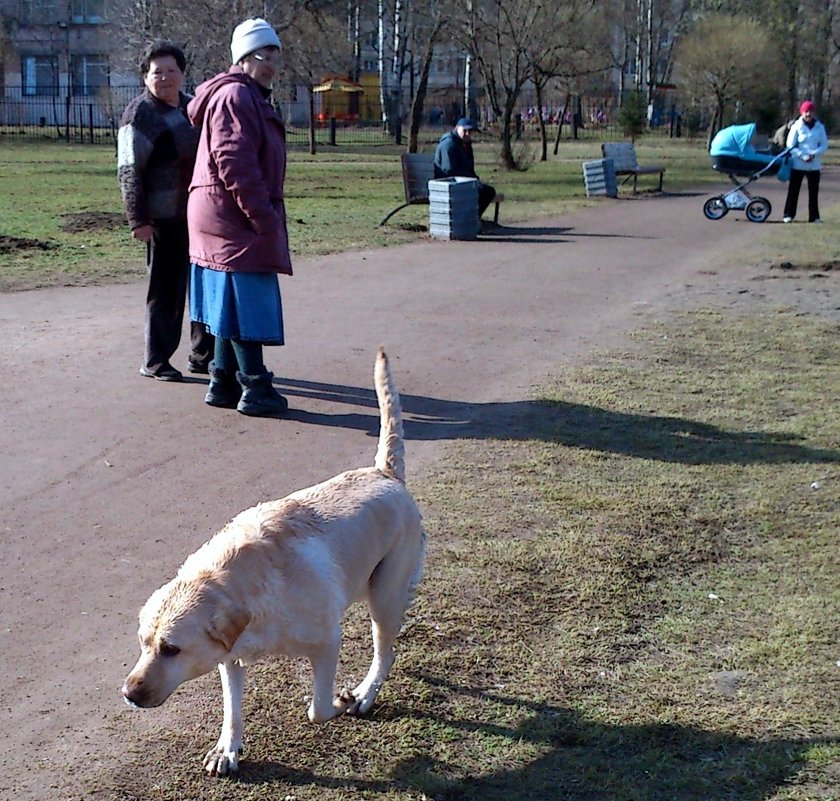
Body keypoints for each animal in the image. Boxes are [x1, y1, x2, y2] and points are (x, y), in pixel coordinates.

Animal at [121, 348, 424, 776]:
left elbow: (318, 709)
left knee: (386, 651)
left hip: (384, 597)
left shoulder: (327, 642)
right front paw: (227, 749)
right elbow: (232, 708)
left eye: (172, 649)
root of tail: (384, 472)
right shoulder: (229, 657)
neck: (239, 582)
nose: (128, 693)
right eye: (143, 644)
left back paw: (365, 693)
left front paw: (338, 702)